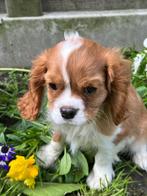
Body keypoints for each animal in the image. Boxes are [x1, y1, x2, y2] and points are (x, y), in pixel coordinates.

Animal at [17, 32, 147, 190]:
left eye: (90, 89)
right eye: (52, 86)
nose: (67, 112)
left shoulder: (113, 133)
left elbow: (103, 153)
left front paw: (99, 177)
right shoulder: (59, 123)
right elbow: (57, 139)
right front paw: (48, 155)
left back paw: (142, 157)